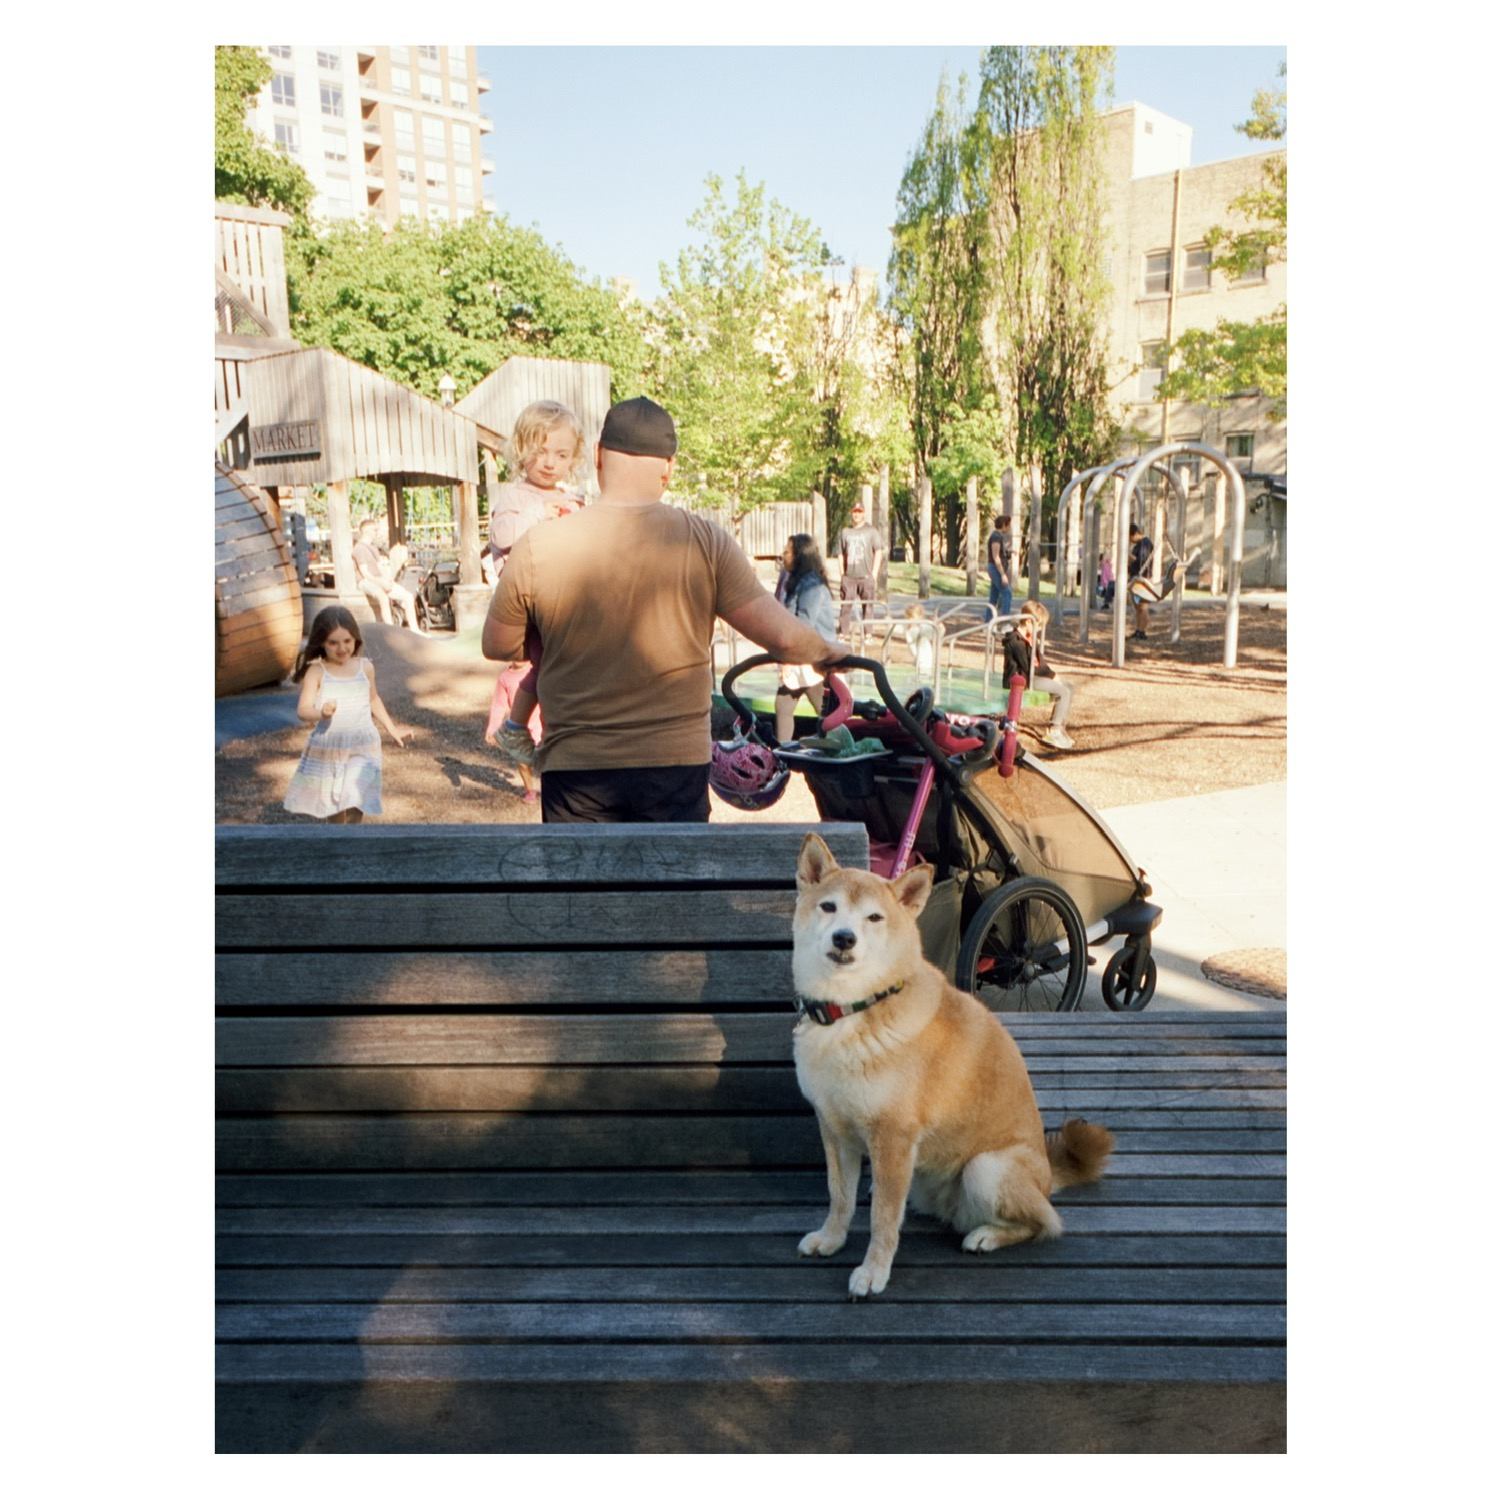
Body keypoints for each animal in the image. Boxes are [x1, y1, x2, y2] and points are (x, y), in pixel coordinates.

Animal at [791, 832, 1114, 1299]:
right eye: (829, 906)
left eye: (874, 917)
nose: (844, 938)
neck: (854, 1009)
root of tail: (1047, 1175)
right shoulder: (835, 1129)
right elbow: (841, 1197)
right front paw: (831, 1239)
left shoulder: (893, 1138)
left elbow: (882, 1219)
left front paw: (873, 1272)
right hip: (923, 1179)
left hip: (986, 1168)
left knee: (1044, 1222)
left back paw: (987, 1235)